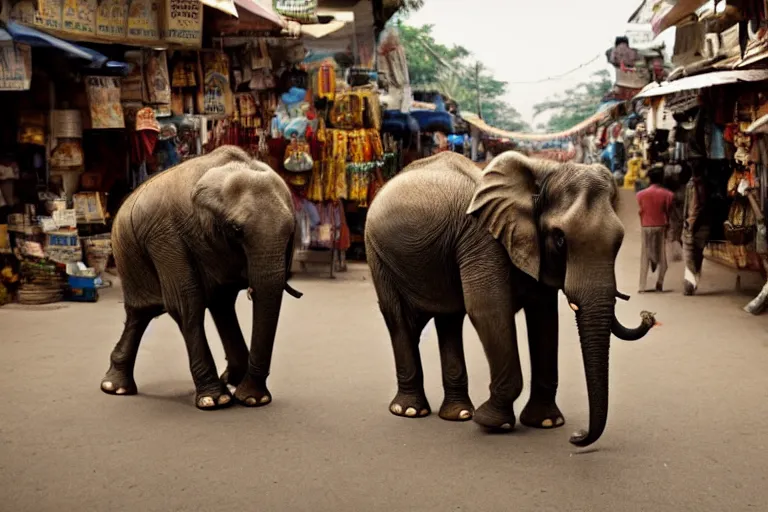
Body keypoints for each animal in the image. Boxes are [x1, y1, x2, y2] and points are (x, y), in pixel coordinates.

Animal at [97, 146, 300, 410]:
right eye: (236, 230)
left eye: (291, 230)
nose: (254, 399)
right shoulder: (165, 236)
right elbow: (186, 303)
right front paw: (216, 400)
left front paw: (248, 398)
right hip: (127, 254)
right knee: (144, 311)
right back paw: (115, 388)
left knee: (212, 306)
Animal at [364, 150, 656, 446]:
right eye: (560, 239)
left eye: (619, 241)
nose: (577, 436)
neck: (542, 171)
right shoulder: (481, 237)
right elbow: (488, 309)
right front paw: (491, 422)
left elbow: (543, 315)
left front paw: (546, 422)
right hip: (376, 252)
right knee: (399, 319)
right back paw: (410, 411)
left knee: (449, 319)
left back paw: (459, 414)